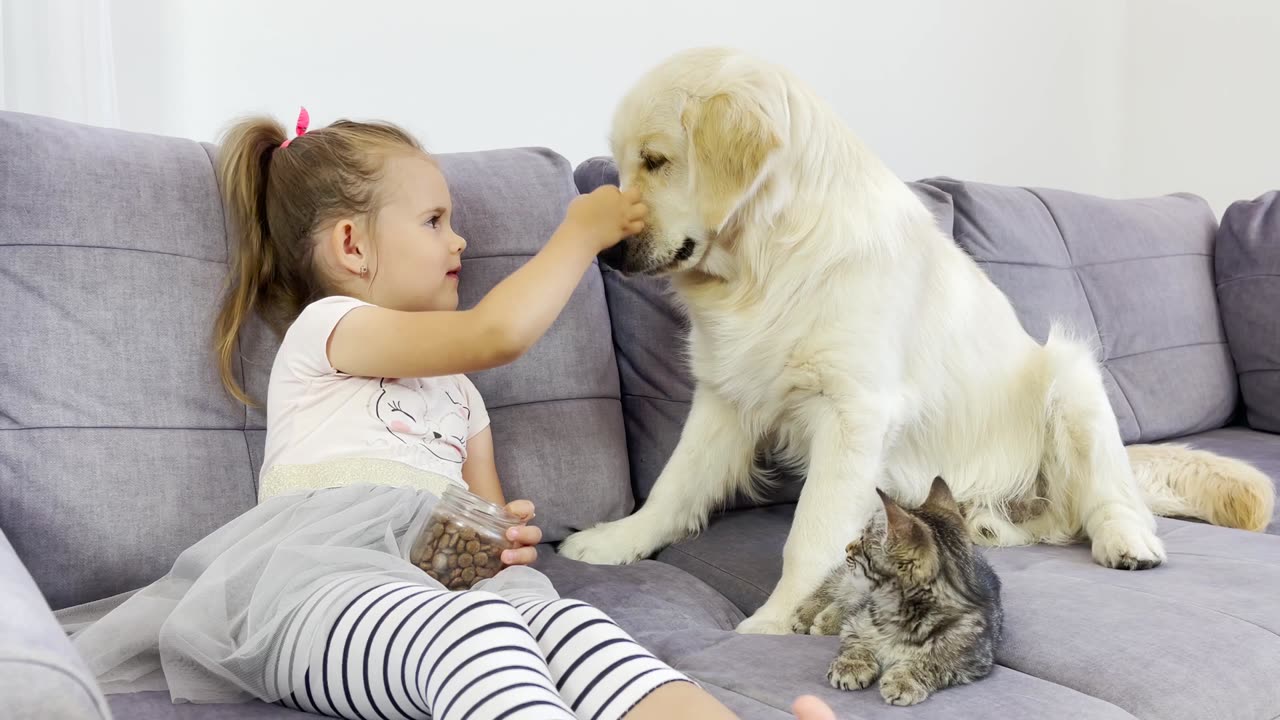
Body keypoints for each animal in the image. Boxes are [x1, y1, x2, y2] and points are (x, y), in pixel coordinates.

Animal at [793, 474, 1003, 702]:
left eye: (863, 540)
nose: (847, 547)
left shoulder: (974, 659)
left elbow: (934, 664)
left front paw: (905, 680)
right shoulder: (854, 627)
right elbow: (855, 643)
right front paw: (852, 666)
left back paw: (827, 619)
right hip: (850, 584)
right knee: (837, 588)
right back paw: (809, 614)